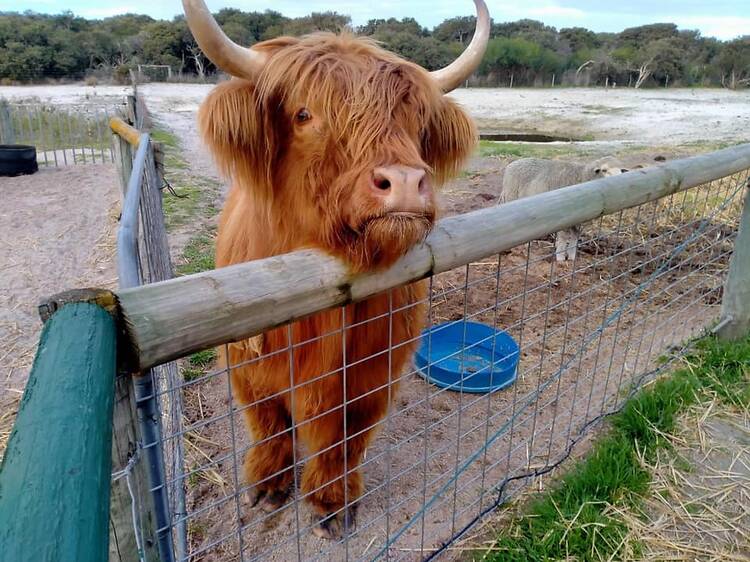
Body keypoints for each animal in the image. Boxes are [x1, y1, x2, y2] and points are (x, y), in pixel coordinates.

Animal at [502, 156, 632, 262]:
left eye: (621, 170)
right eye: (604, 170)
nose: (620, 181)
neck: (582, 176)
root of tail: (512, 163)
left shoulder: (578, 220)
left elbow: (575, 237)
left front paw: (571, 257)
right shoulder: (563, 217)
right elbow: (564, 237)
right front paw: (560, 258)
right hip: (511, 197)